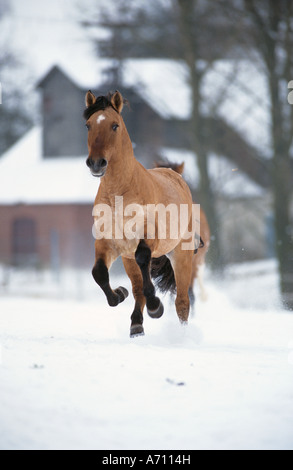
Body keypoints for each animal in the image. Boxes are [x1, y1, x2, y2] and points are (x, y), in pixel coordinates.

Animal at [83, 90, 203, 336]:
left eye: (115, 125)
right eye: (88, 125)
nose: (96, 163)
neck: (119, 195)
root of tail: (176, 177)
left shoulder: (148, 237)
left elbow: (143, 258)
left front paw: (156, 306)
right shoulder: (108, 243)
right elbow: (99, 273)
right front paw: (120, 293)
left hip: (182, 255)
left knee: (182, 302)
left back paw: (181, 333)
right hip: (128, 258)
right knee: (138, 289)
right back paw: (136, 324)